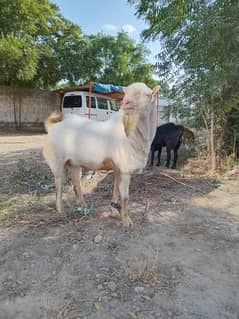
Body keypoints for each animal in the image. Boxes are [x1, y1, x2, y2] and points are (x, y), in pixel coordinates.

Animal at [42, 82, 160, 228]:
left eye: (147, 94)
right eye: (126, 94)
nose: (125, 103)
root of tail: (52, 126)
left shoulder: (118, 169)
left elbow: (115, 190)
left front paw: (114, 213)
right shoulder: (125, 170)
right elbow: (125, 197)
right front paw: (126, 220)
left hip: (74, 163)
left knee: (76, 184)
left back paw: (84, 206)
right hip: (57, 161)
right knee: (59, 185)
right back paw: (60, 210)